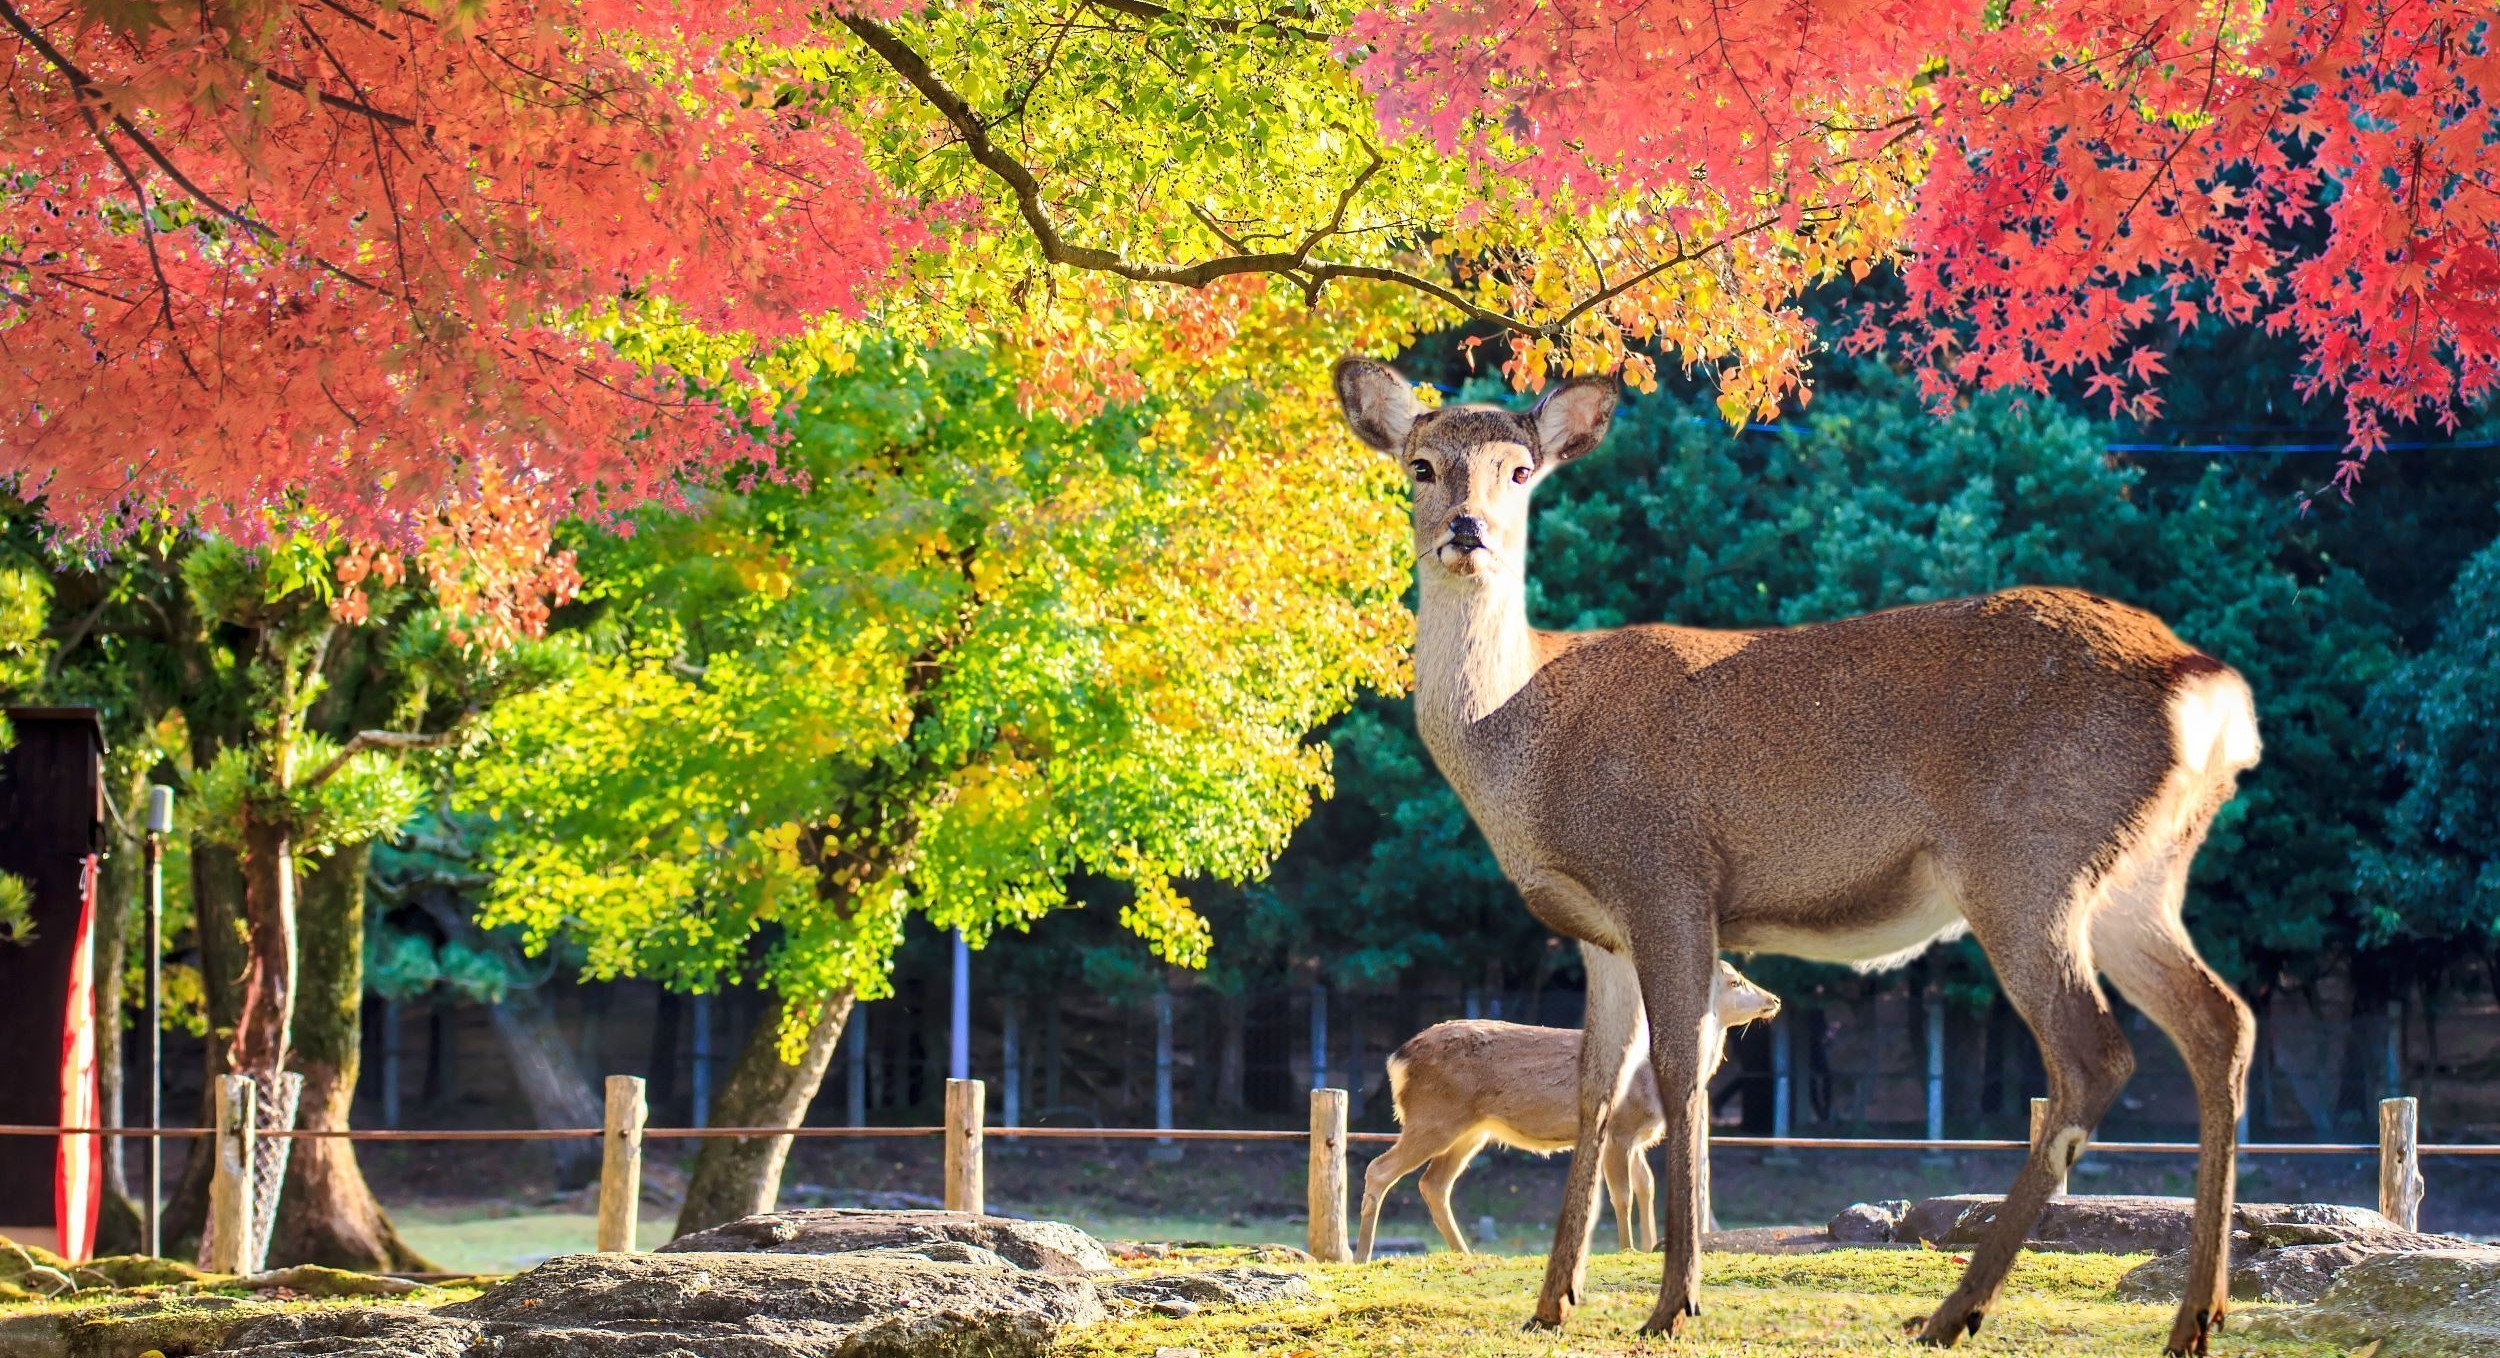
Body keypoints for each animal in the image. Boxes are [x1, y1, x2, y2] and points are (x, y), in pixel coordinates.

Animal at [1354, 954, 1780, 1263]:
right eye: (1735, 981)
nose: (1774, 999)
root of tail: (1397, 1059)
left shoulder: (1639, 1137)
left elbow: (1647, 1186)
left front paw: (1649, 1247)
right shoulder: (1620, 1128)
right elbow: (1622, 1193)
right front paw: (1626, 1248)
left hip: (1471, 1130)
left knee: (1434, 1184)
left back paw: (1466, 1253)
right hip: (1433, 1118)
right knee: (1380, 1169)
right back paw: (1360, 1256)